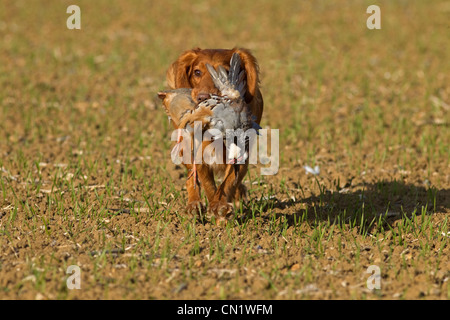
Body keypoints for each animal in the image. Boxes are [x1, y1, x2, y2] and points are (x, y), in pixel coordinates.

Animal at [165, 48, 264, 222]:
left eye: (227, 69)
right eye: (197, 72)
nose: (203, 97)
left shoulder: (242, 153)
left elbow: (230, 180)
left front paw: (221, 206)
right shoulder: (199, 152)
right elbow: (208, 184)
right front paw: (216, 208)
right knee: (191, 177)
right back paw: (194, 204)